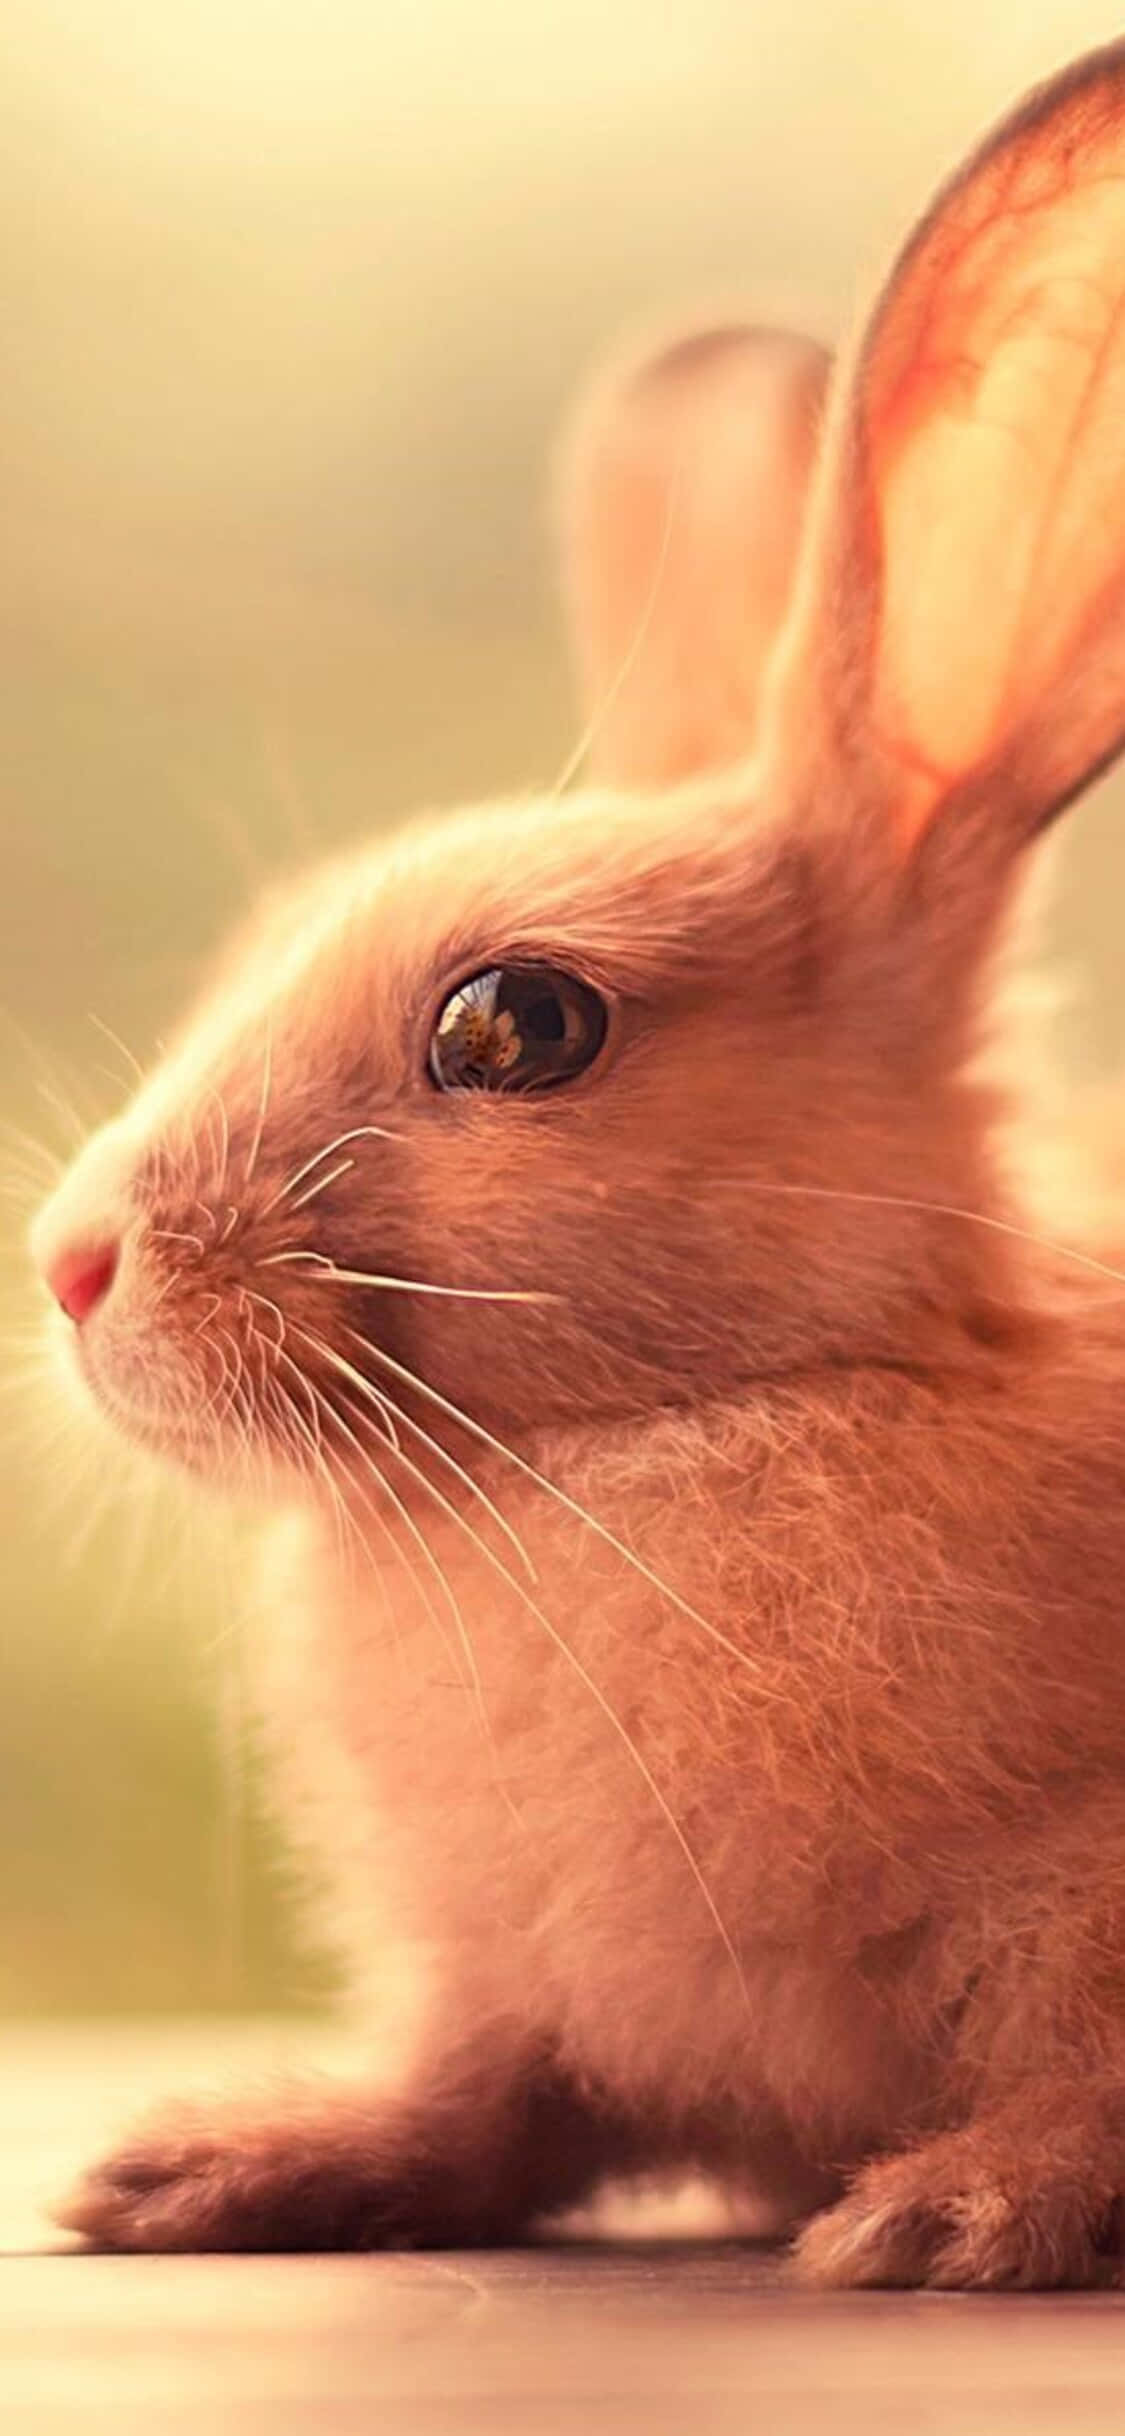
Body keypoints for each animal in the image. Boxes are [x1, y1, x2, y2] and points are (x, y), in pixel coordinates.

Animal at [28, 37, 1125, 2287]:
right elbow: (473, 2104)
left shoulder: (1094, 1933)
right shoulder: (506, 1995)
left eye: (515, 1026)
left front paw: (945, 2218)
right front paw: (199, 2171)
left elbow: (1082, 2090)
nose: (74, 1265)